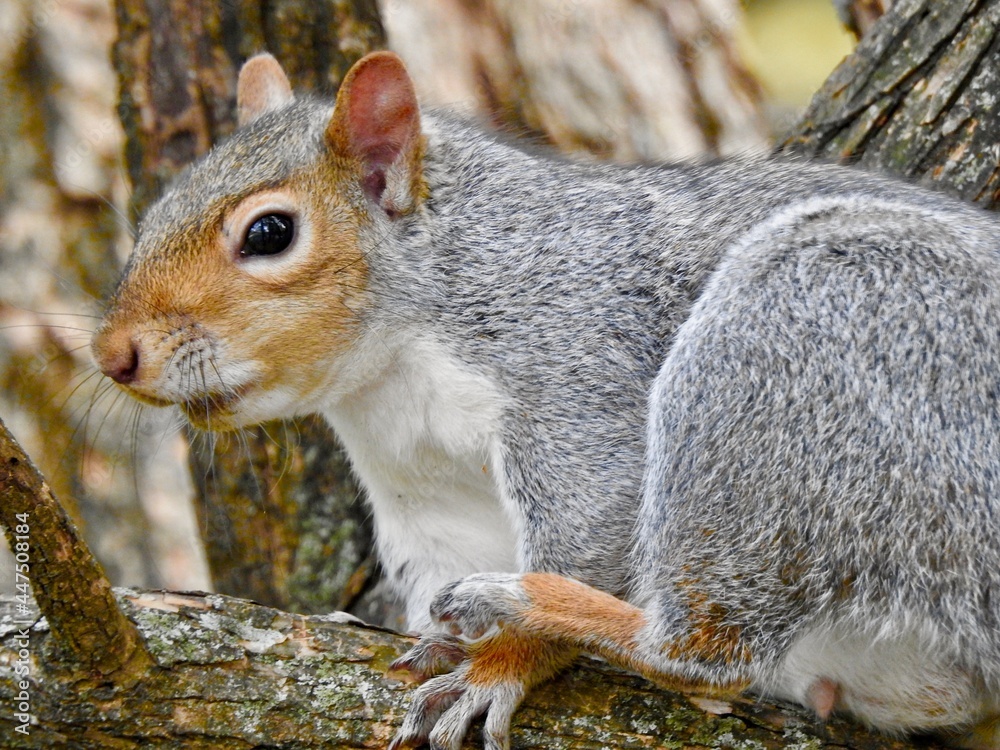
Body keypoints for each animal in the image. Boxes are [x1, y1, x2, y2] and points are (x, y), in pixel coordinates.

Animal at [92, 51, 1000, 749]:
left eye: (270, 233)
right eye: (153, 210)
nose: (112, 355)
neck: (386, 376)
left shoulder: (576, 371)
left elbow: (593, 519)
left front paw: (501, 663)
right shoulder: (425, 502)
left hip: (803, 335)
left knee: (708, 648)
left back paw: (535, 602)